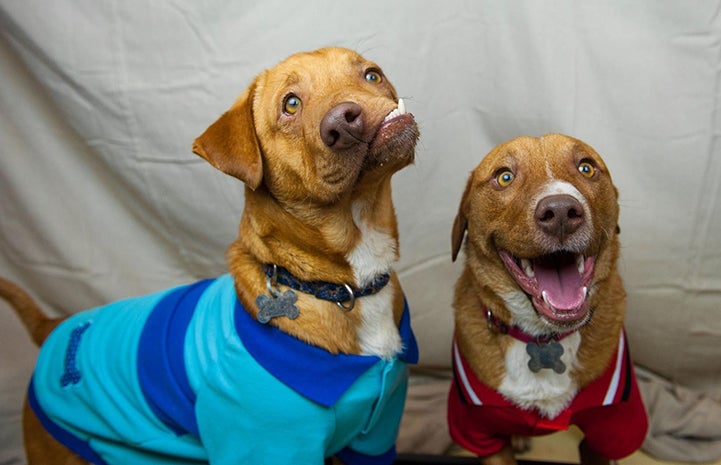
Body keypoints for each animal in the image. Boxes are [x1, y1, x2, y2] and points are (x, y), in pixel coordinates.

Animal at [1, 48, 416, 464]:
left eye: (371, 75)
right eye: (291, 104)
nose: (347, 120)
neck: (341, 287)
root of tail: (54, 326)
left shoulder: (375, 442)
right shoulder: (267, 447)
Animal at [450, 134, 648, 464]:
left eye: (586, 167)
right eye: (504, 177)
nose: (561, 213)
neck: (544, 337)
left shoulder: (610, 428)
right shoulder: (481, 429)